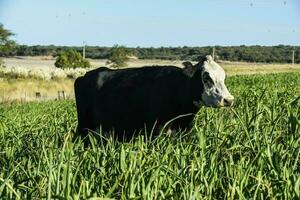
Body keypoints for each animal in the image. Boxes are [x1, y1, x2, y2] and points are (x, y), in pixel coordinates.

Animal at [74, 54, 233, 139]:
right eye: (206, 78)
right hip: (84, 128)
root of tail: (85, 75)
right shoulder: (155, 130)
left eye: (224, 78)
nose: (228, 100)